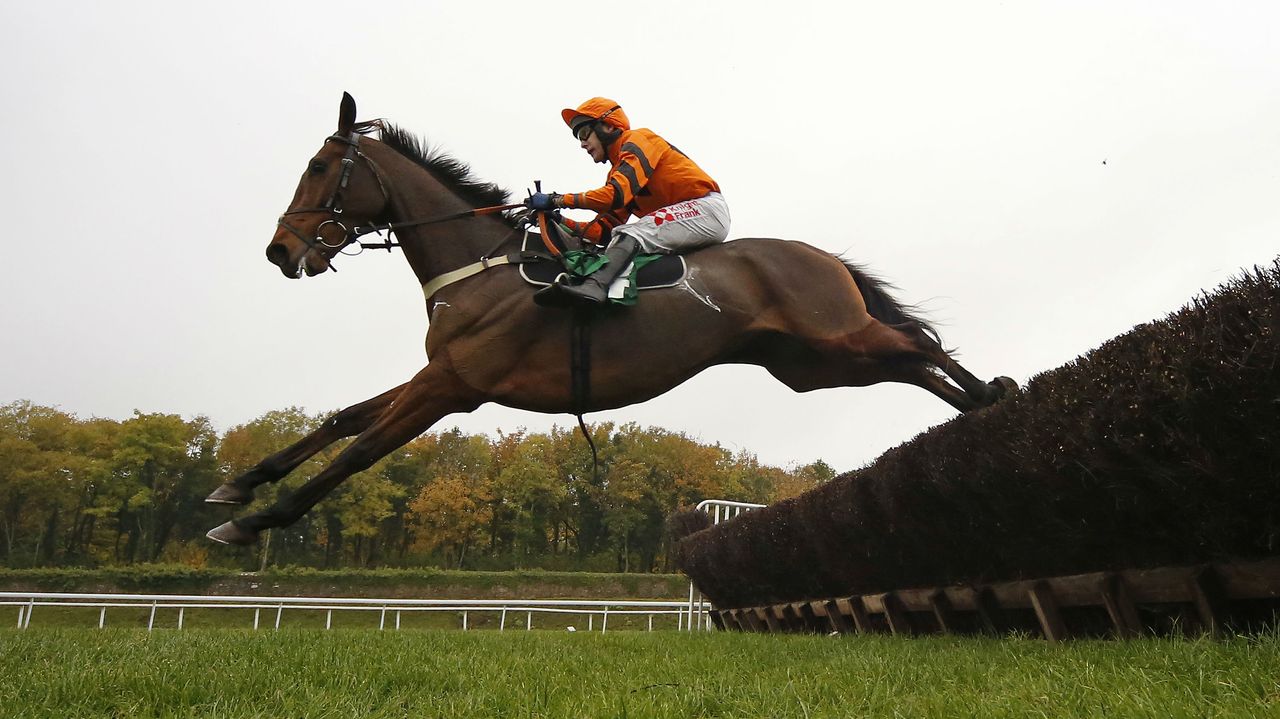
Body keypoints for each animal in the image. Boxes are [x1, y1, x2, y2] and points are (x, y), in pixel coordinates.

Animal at [204, 94, 1013, 542]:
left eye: (317, 167)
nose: (280, 250)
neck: (481, 264)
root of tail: (821, 256)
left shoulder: (454, 385)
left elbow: (361, 451)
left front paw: (249, 522)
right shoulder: (442, 370)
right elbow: (343, 418)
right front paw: (237, 487)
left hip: (834, 335)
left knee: (917, 341)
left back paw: (995, 392)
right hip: (815, 367)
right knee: (907, 361)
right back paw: (974, 406)